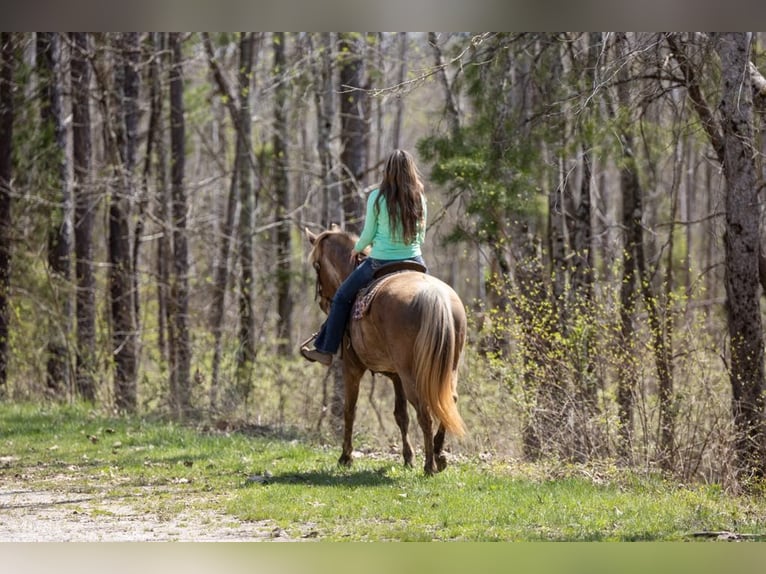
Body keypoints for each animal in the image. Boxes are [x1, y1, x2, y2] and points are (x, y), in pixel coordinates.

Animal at [304, 226, 467, 475]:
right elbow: (401, 415)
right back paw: (439, 455)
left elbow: (349, 409)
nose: (324, 302)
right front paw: (408, 458)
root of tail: (433, 296)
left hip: (413, 375)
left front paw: (345, 457)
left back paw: (429, 465)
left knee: (425, 411)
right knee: (448, 400)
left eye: (317, 265)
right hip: (448, 367)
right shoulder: (396, 375)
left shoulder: (352, 367)